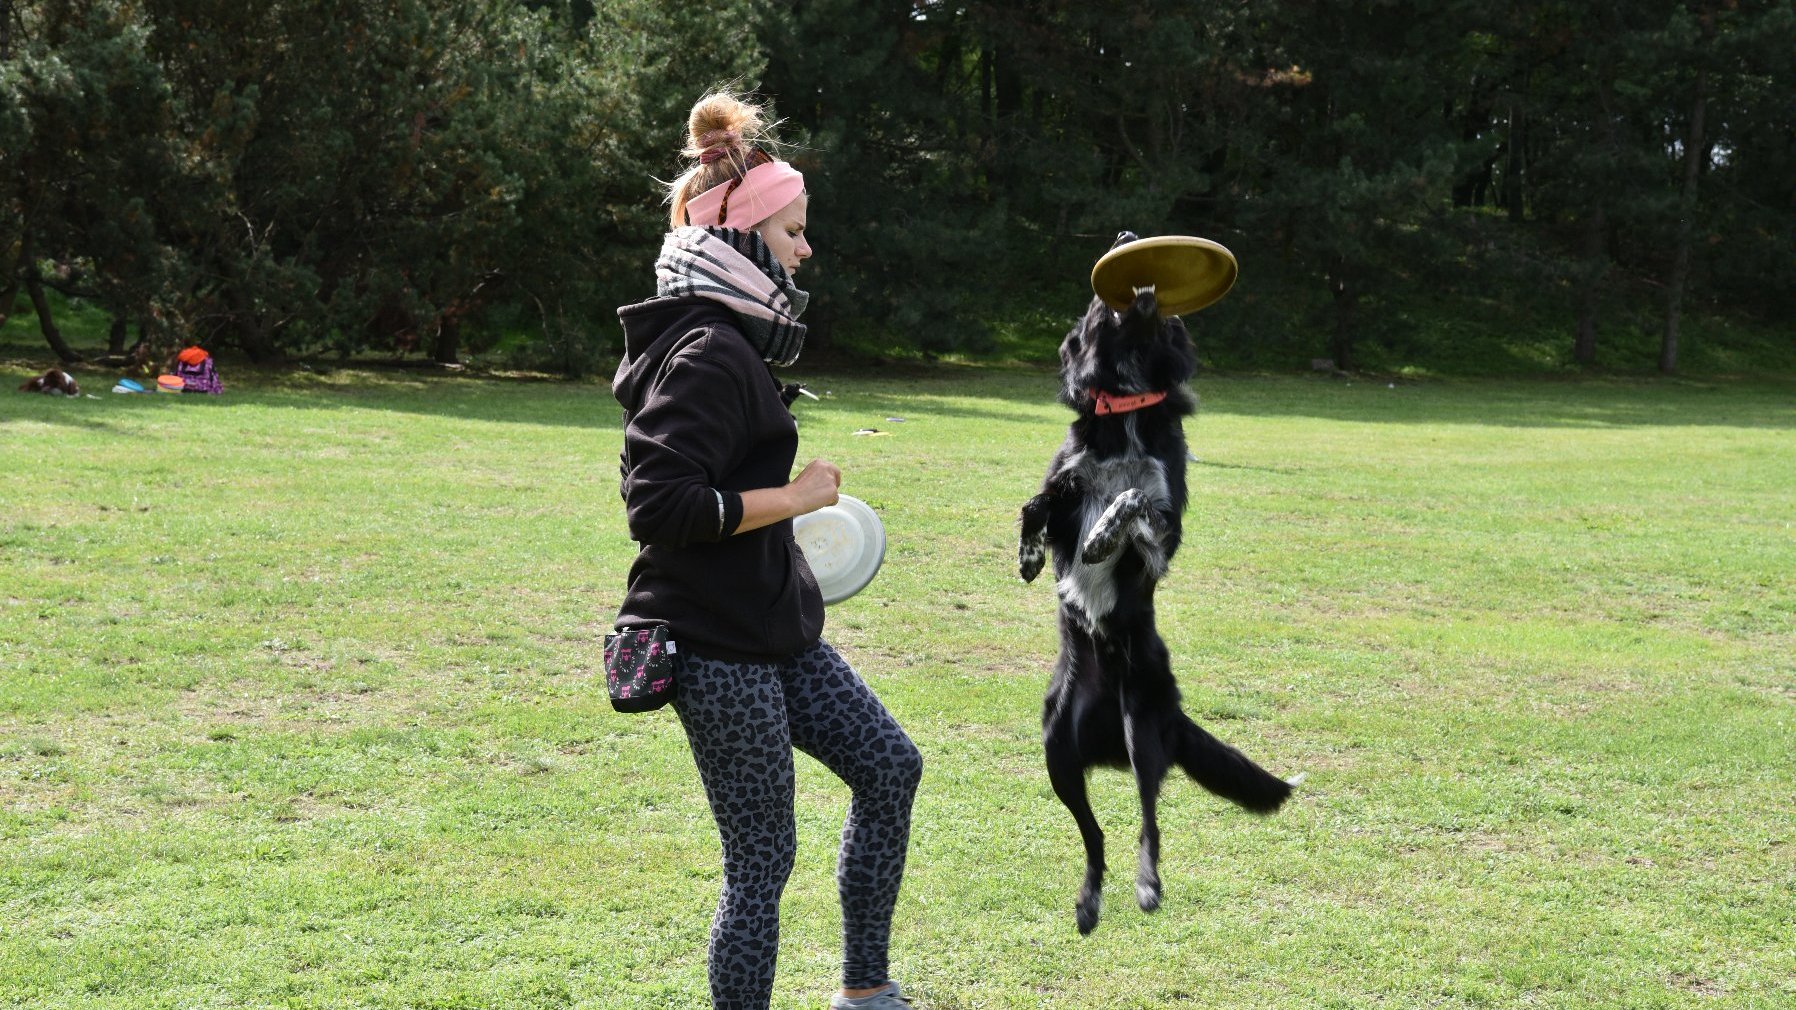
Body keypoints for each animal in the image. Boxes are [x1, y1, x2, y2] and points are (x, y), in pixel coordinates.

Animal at [1020, 231, 1300, 934]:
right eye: (1095, 301)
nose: (1127, 238)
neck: (1124, 402)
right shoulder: (1063, 483)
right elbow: (1036, 504)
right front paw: (1030, 557)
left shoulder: (1162, 530)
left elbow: (1133, 505)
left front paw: (1100, 537)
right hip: (1057, 749)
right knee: (1094, 837)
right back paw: (1089, 900)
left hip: (1140, 726)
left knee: (1147, 823)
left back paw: (1147, 885)